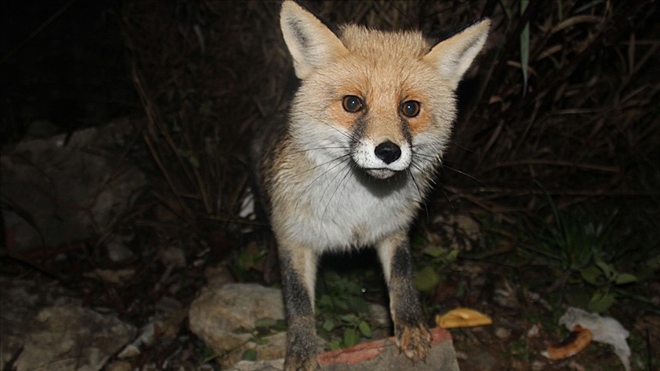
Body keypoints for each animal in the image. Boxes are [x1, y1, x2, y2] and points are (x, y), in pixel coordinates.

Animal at [251, 1, 490, 370]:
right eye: (352, 103)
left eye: (410, 108)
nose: (388, 152)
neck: (358, 208)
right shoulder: (294, 238)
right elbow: (298, 302)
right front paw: (302, 351)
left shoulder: (394, 229)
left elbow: (403, 279)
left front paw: (411, 327)